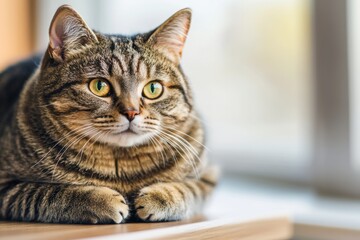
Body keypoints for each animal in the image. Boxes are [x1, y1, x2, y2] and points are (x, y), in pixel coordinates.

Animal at [0, 4, 217, 224]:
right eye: (99, 86)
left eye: (153, 88)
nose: (131, 111)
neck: (122, 167)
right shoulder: (6, 185)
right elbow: (52, 193)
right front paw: (101, 199)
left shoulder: (208, 177)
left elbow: (187, 190)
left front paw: (159, 196)